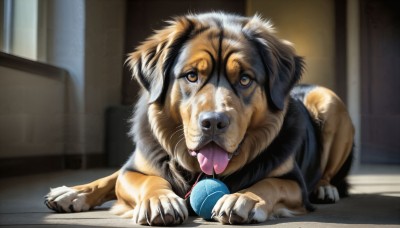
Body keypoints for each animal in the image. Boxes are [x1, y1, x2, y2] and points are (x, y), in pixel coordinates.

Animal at [45, 12, 354, 224]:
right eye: (191, 76)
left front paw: (243, 198)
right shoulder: (136, 169)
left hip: (328, 99)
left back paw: (325, 188)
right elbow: (144, 179)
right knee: (115, 174)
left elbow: (268, 183)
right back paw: (71, 193)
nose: (213, 122)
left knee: (327, 173)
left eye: (244, 79)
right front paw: (161, 200)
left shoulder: (292, 182)